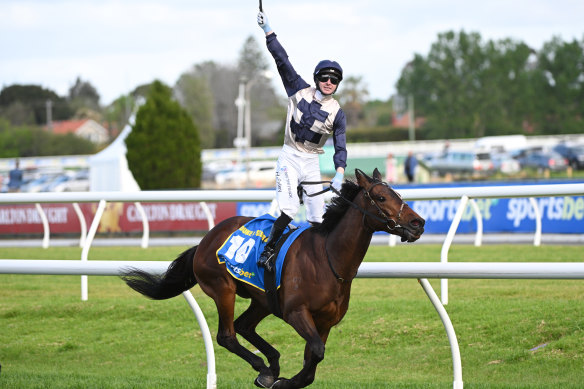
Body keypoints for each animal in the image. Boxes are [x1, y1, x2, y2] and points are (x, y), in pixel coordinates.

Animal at [122, 167, 424, 388]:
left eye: (398, 194)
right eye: (382, 198)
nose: (417, 223)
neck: (328, 258)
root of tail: (206, 239)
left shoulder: (325, 322)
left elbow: (312, 361)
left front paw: (286, 379)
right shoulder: (296, 312)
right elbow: (316, 353)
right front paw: (283, 381)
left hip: (263, 299)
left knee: (244, 326)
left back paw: (272, 364)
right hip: (223, 289)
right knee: (227, 335)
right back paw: (264, 368)